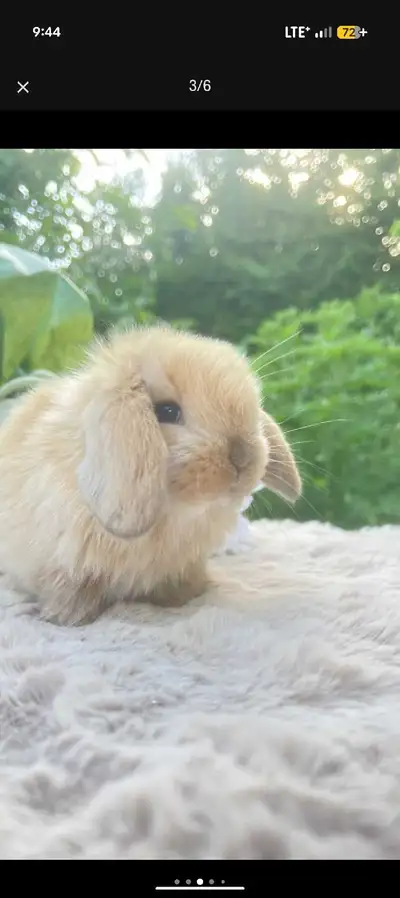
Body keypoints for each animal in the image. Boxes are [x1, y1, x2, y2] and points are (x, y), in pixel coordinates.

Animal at [0, 325, 301, 626]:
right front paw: (67, 616)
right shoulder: (63, 561)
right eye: (166, 411)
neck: (174, 515)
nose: (243, 457)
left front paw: (188, 595)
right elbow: (71, 586)